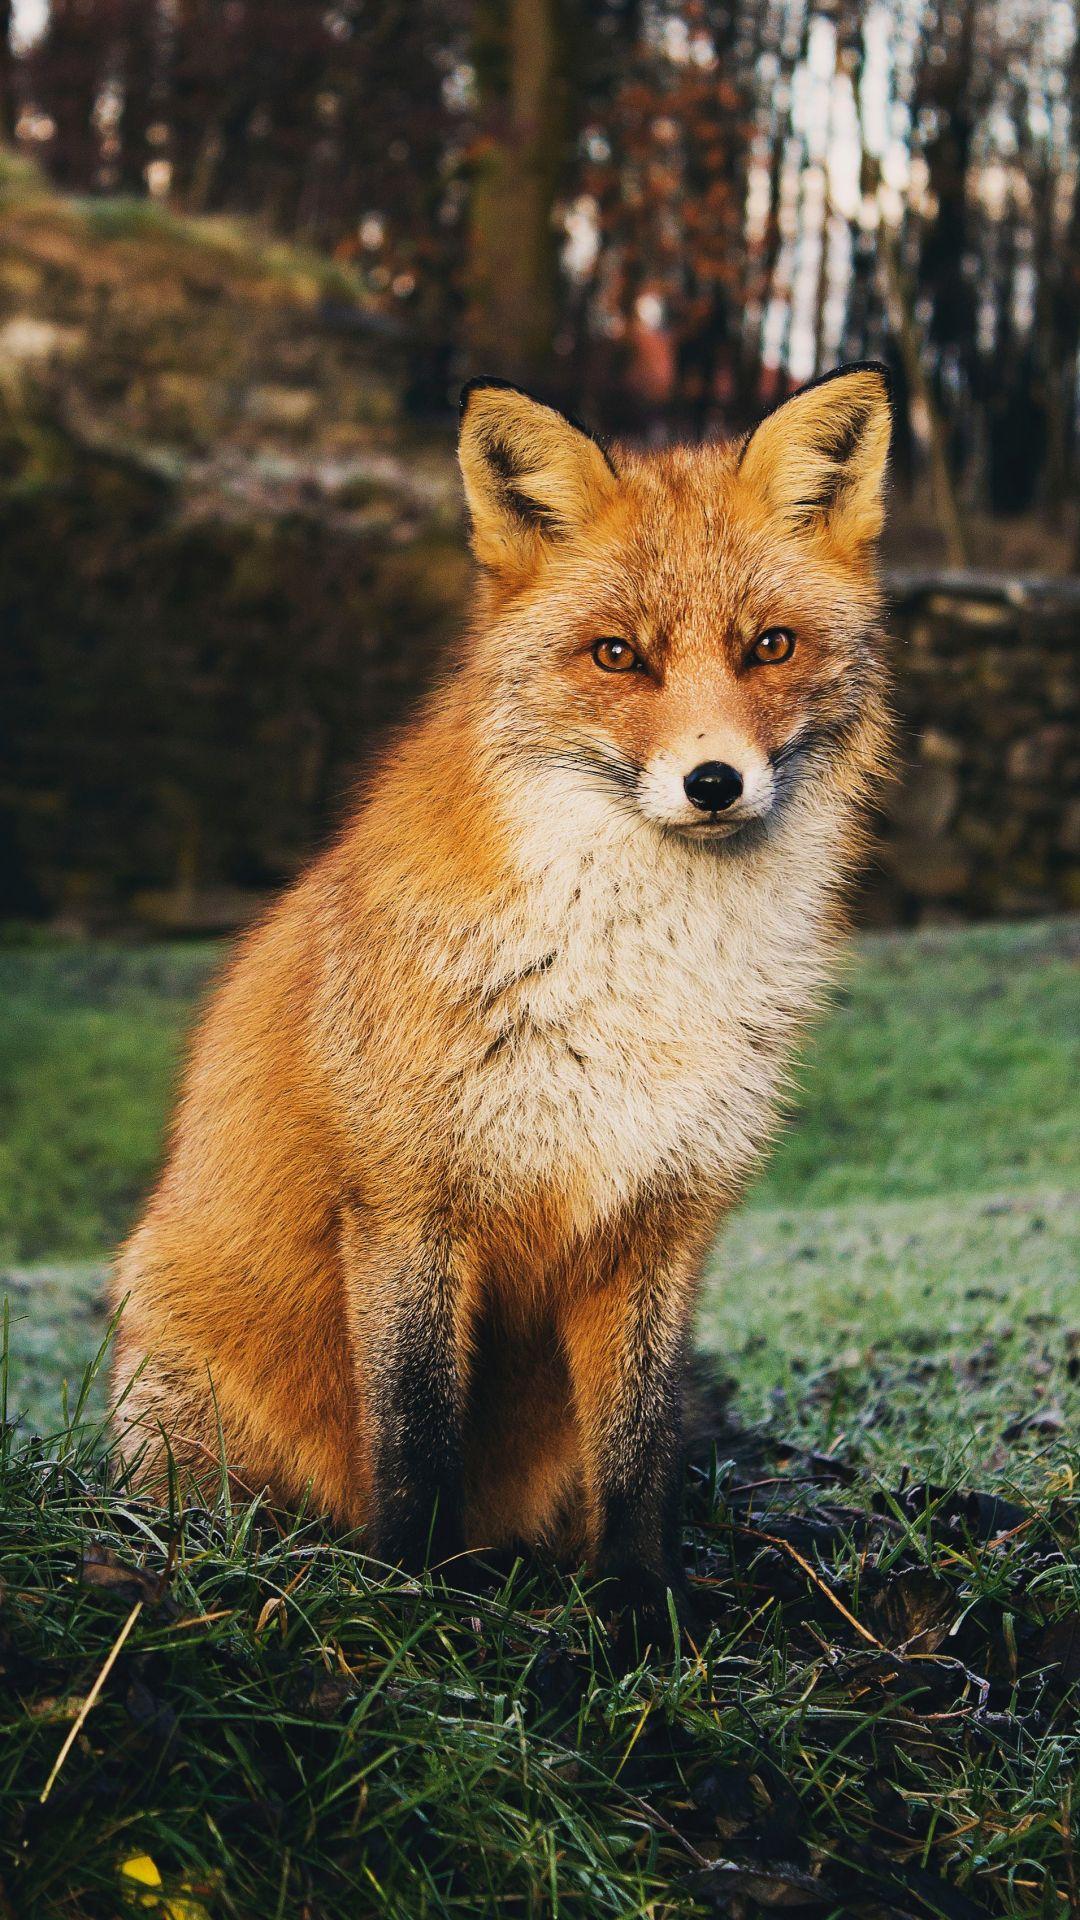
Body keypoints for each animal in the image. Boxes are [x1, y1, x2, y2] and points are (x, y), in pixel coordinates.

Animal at [111, 363, 894, 1624]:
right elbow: (417, 1431)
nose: (713, 782)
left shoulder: (660, 1219)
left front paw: (642, 1610)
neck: (637, 979)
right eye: (617, 656)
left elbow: (638, 1452)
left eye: (770, 646)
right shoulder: (409, 1201)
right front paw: (419, 1597)